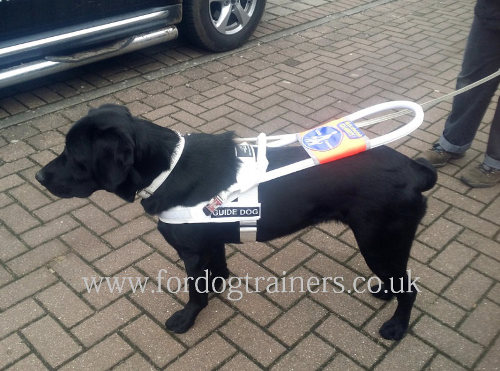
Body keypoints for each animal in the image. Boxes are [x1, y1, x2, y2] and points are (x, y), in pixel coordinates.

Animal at [35, 104, 436, 340]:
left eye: (72, 153)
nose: (39, 177)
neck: (168, 168)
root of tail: (414, 170)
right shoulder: (210, 243)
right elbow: (216, 270)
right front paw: (218, 285)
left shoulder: (191, 251)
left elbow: (195, 291)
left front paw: (188, 318)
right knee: (398, 282)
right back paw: (384, 292)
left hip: (379, 241)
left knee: (409, 288)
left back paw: (397, 327)